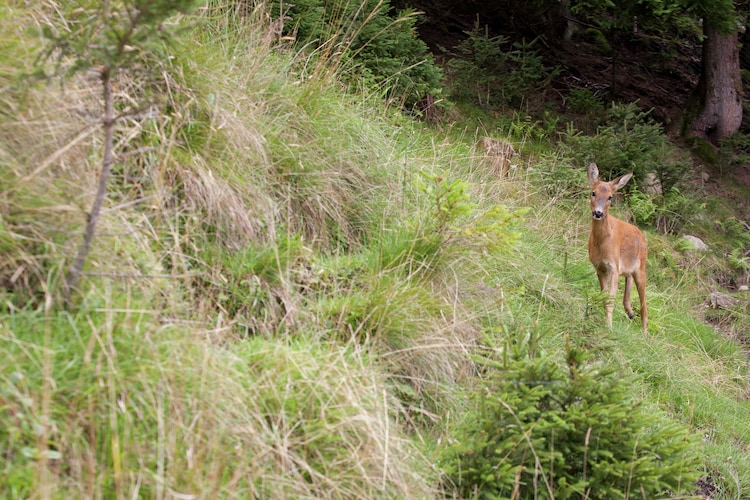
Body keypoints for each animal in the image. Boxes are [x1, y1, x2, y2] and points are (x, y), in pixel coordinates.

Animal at [586, 162, 648, 331]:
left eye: (610, 197)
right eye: (593, 192)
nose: (598, 213)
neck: (602, 243)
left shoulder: (613, 266)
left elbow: (610, 299)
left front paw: (609, 326)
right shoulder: (599, 267)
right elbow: (604, 297)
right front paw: (606, 322)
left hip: (641, 268)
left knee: (644, 304)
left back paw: (645, 331)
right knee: (628, 278)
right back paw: (630, 312)